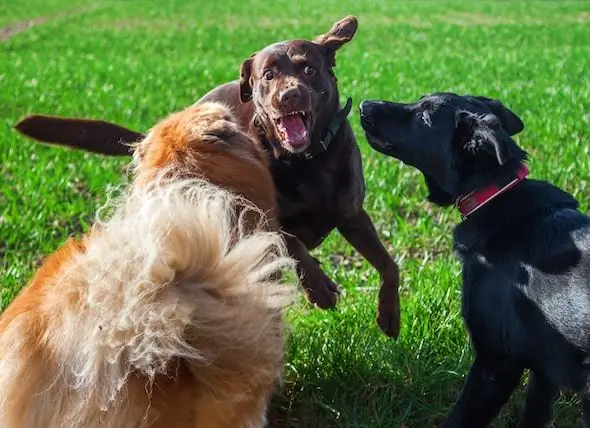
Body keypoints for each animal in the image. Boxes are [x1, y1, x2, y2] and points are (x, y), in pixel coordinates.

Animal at [13, 15, 402, 338]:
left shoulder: (352, 214)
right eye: (268, 75)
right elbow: (294, 243)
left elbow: (389, 265)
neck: (305, 160)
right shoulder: (264, 215)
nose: (289, 95)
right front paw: (318, 287)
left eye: (308, 69)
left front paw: (389, 314)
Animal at [360, 92, 590, 426]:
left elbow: (459, 418)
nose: (363, 105)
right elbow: (533, 413)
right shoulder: (544, 371)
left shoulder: (496, 362)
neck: (495, 191)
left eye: (424, 116)